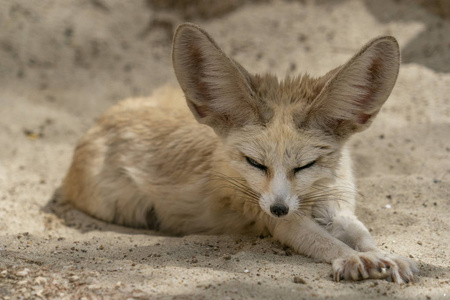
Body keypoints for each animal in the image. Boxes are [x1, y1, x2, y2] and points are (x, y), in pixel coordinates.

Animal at [61, 24, 416, 284]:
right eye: (255, 164)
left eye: (306, 165)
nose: (278, 208)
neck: (314, 194)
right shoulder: (280, 221)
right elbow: (327, 242)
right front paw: (354, 257)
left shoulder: (336, 206)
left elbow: (362, 233)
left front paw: (382, 254)